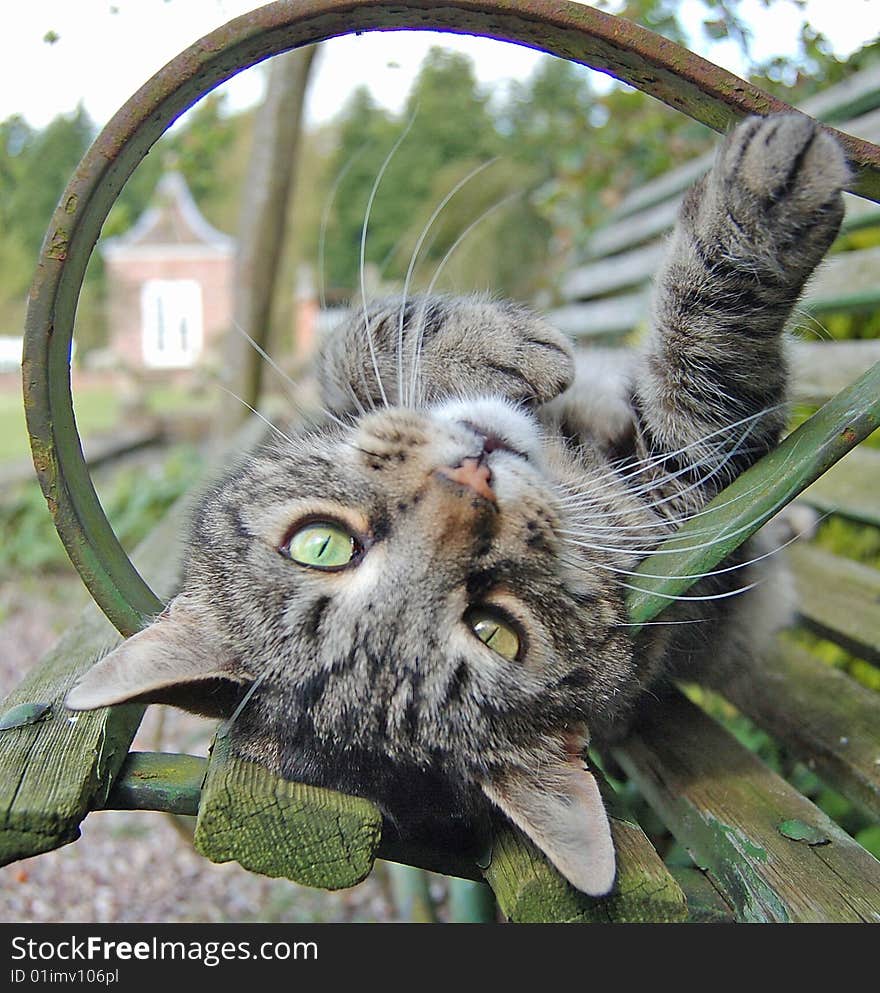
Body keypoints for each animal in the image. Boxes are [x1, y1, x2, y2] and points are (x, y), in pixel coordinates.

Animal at [65, 112, 848, 896]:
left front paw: (482, 349)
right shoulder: (689, 482)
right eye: (496, 631)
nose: (472, 477)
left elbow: (352, 337)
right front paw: (767, 190)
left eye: (321, 542)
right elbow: (709, 360)